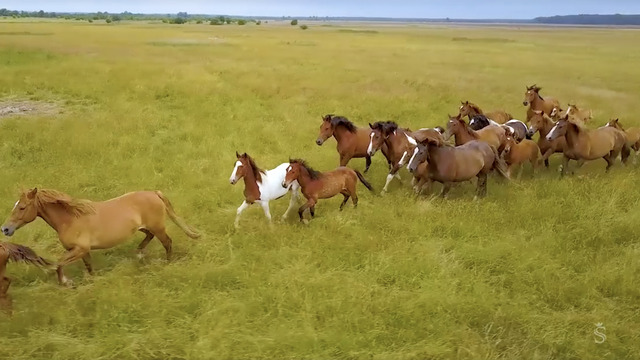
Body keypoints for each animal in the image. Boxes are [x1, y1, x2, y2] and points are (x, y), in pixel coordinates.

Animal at [0, 187, 200, 286]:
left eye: (22, 207)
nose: (5, 229)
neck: (70, 218)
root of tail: (154, 193)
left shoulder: (80, 249)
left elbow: (58, 263)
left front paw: (66, 282)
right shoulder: (82, 251)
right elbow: (88, 266)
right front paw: (92, 280)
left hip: (158, 227)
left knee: (167, 243)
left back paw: (167, 263)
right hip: (144, 228)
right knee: (149, 237)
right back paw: (139, 254)